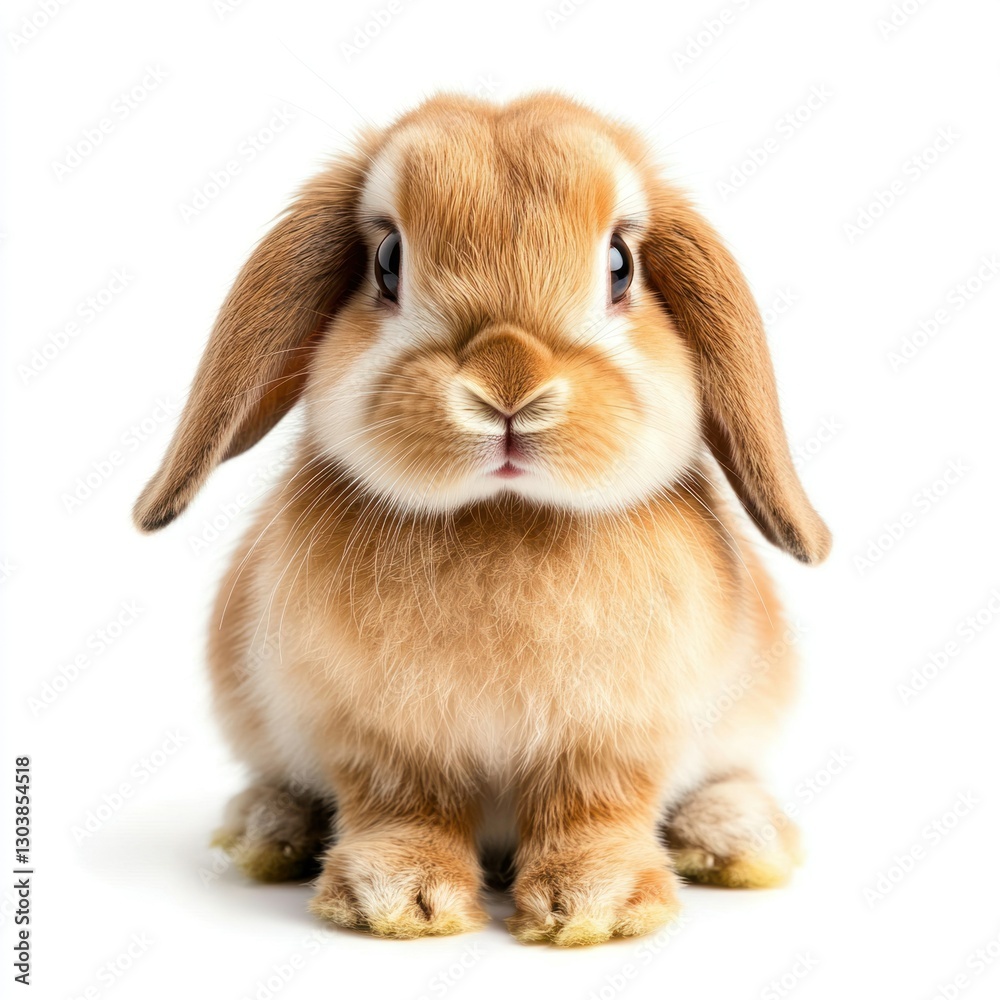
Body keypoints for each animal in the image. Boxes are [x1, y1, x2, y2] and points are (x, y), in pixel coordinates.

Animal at [134, 92, 830, 947]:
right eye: (387, 261)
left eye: (620, 265)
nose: (508, 383)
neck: (502, 518)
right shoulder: (383, 739)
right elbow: (404, 807)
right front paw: (396, 900)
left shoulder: (616, 736)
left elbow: (595, 809)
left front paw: (596, 907)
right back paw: (268, 829)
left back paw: (737, 840)